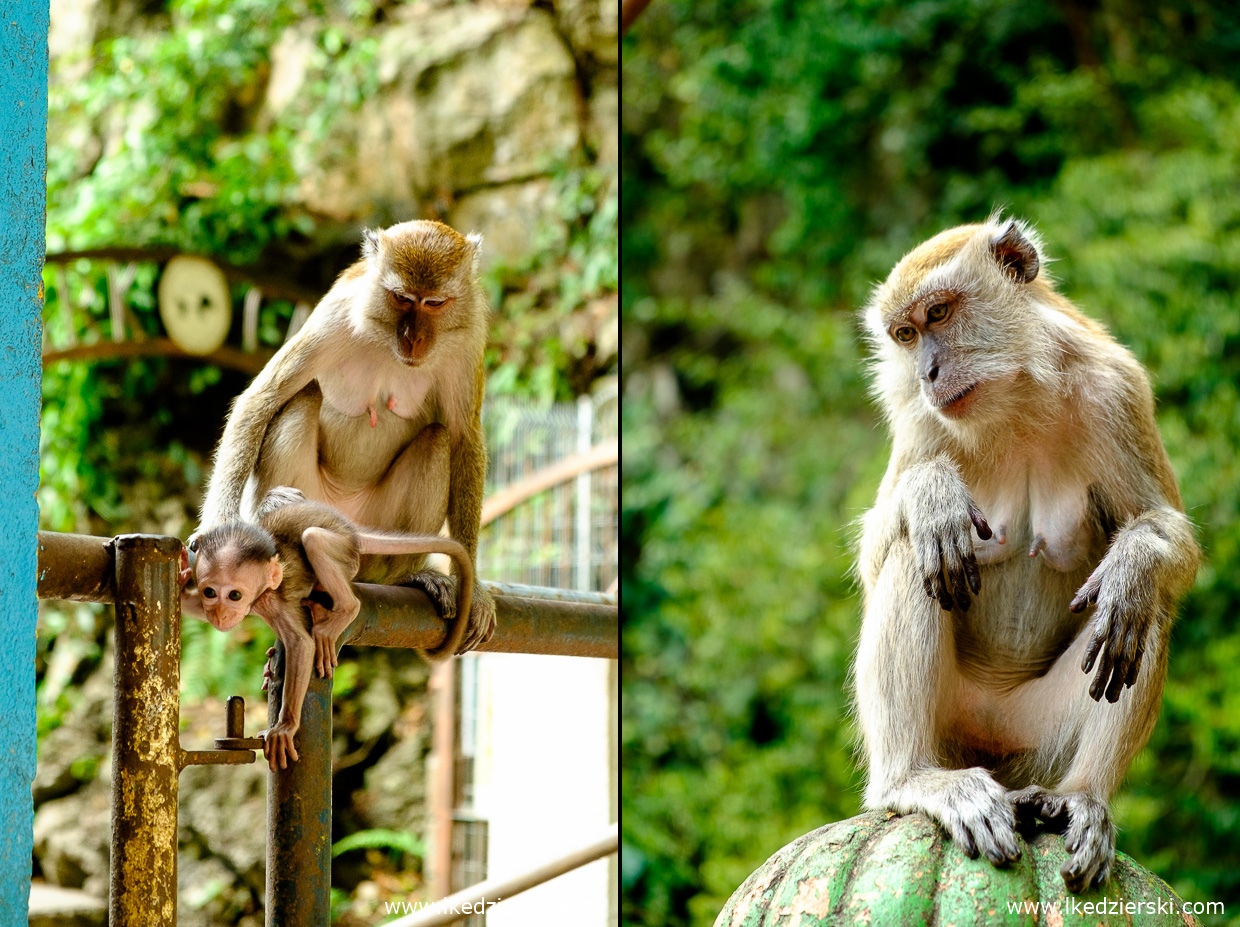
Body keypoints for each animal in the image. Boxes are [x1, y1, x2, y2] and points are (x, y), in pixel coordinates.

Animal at [181, 488, 471, 773]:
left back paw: (345, 609)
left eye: (234, 595)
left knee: (314, 540)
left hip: (344, 553)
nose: (220, 613)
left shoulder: (271, 600)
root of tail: (351, 532)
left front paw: (286, 726)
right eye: (210, 593)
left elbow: (301, 644)